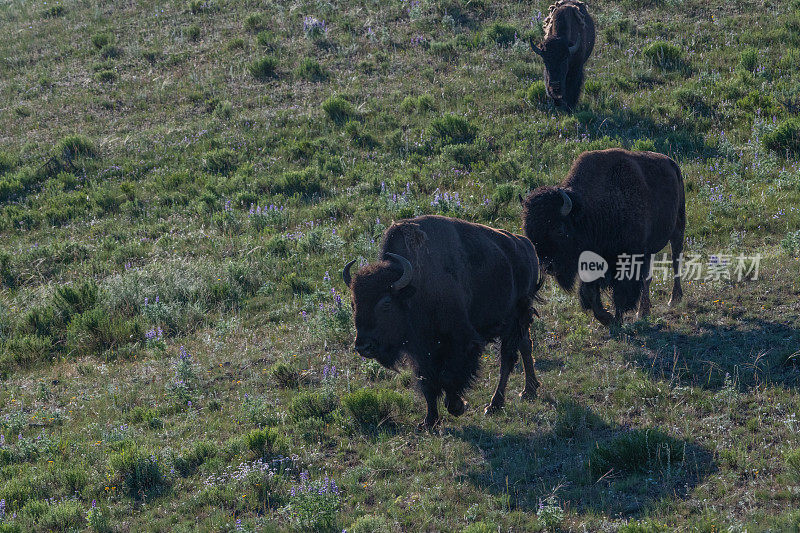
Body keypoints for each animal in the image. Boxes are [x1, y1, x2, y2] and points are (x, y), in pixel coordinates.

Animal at [340, 214, 540, 426]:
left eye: (386, 303)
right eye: (353, 304)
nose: (363, 346)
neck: (415, 289)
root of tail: (527, 246)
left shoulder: (461, 342)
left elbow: (447, 376)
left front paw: (457, 406)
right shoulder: (420, 351)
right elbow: (427, 382)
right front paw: (429, 421)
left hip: (515, 319)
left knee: (507, 359)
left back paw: (494, 405)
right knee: (525, 345)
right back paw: (529, 391)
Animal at [520, 148, 684, 326]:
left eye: (559, 230)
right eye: (529, 232)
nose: (548, 266)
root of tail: (671, 163)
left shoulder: (627, 260)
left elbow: (620, 294)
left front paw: (616, 320)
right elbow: (590, 293)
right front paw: (607, 318)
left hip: (678, 228)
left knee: (675, 260)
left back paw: (673, 299)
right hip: (650, 250)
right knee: (647, 278)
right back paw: (643, 312)